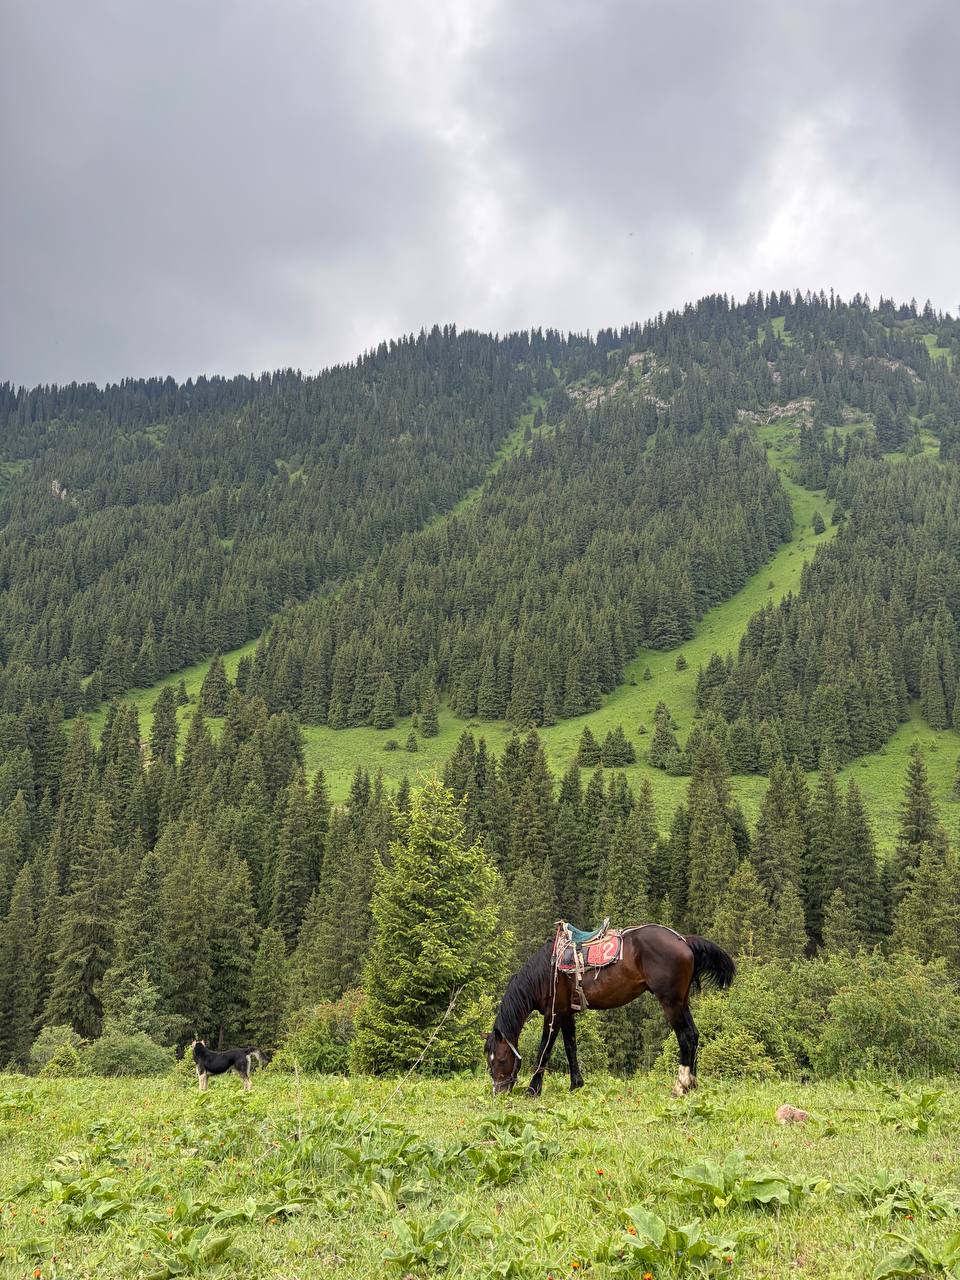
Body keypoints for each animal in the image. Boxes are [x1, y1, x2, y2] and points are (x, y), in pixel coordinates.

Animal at [484, 924, 735, 1097]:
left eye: (500, 1059)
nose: (498, 1092)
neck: (546, 971)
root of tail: (684, 940)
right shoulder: (567, 1012)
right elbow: (571, 1048)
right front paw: (576, 1084)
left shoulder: (552, 1012)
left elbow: (544, 1049)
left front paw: (533, 1089)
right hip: (682, 1001)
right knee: (694, 1035)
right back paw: (692, 1084)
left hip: (671, 1002)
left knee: (685, 1037)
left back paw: (680, 1086)